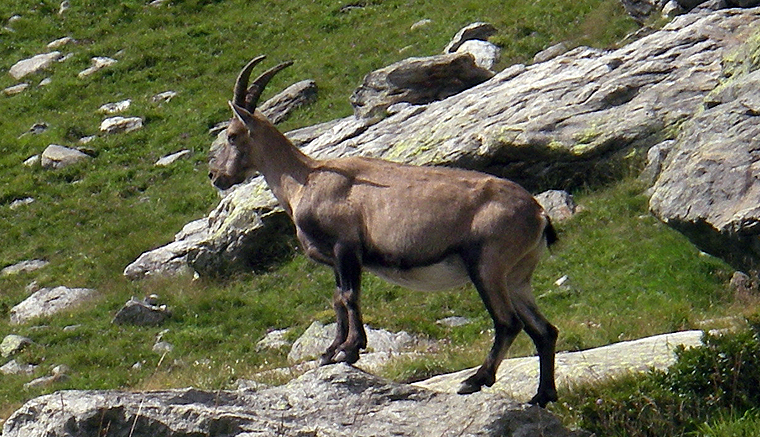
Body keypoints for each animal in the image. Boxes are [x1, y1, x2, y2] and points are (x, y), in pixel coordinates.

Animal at [208, 56, 560, 407]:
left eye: (232, 135)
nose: (215, 176)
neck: (305, 180)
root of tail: (538, 213)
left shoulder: (346, 247)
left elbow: (349, 296)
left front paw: (351, 349)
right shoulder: (336, 259)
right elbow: (337, 298)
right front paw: (331, 351)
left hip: (487, 266)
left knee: (508, 323)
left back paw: (475, 380)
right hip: (517, 276)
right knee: (544, 330)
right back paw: (541, 395)